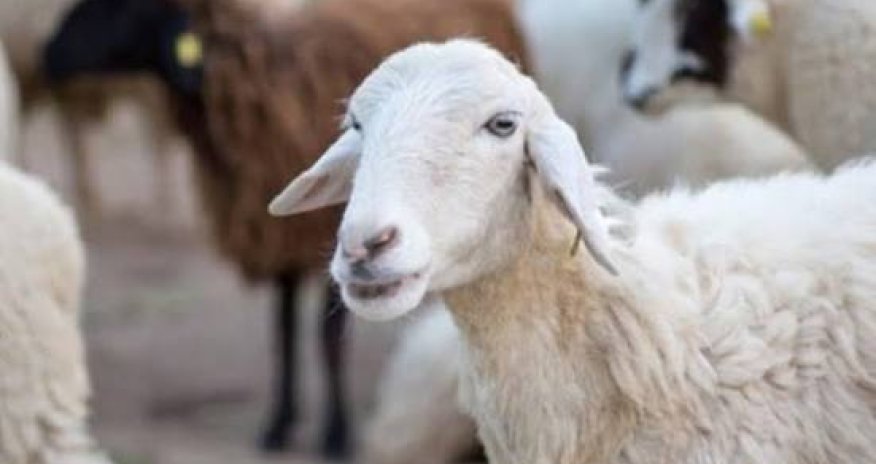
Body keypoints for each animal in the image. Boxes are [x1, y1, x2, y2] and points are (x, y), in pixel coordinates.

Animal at [43, 0, 529, 456]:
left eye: (124, 5)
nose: (49, 55)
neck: (269, 82)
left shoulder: (330, 235)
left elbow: (328, 338)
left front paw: (335, 433)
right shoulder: (278, 240)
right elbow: (283, 332)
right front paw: (278, 424)